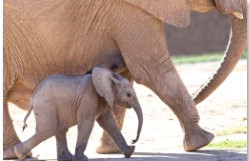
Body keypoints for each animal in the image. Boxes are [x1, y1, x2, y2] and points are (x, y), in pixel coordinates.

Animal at [14, 67, 143, 160]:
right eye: (128, 94)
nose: (133, 140)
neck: (109, 76)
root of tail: (33, 97)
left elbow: (109, 123)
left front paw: (130, 152)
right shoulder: (88, 99)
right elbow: (86, 123)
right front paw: (82, 158)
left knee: (59, 129)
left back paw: (66, 158)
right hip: (46, 105)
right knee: (48, 130)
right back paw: (20, 154)